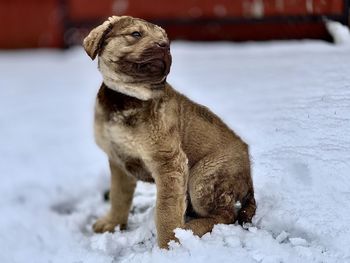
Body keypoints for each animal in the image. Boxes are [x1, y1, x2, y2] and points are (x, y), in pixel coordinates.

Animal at [83, 15, 256, 249]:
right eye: (135, 34)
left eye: (166, 40)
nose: (164, 46)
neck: (126, 99)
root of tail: (249, 177)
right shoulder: (118, 161)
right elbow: (119, 197)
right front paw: (113, 223)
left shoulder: (169, 163)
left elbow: (166, 210)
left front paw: (169, 245)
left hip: (203, 177)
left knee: (225, 215)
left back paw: (191, 229)